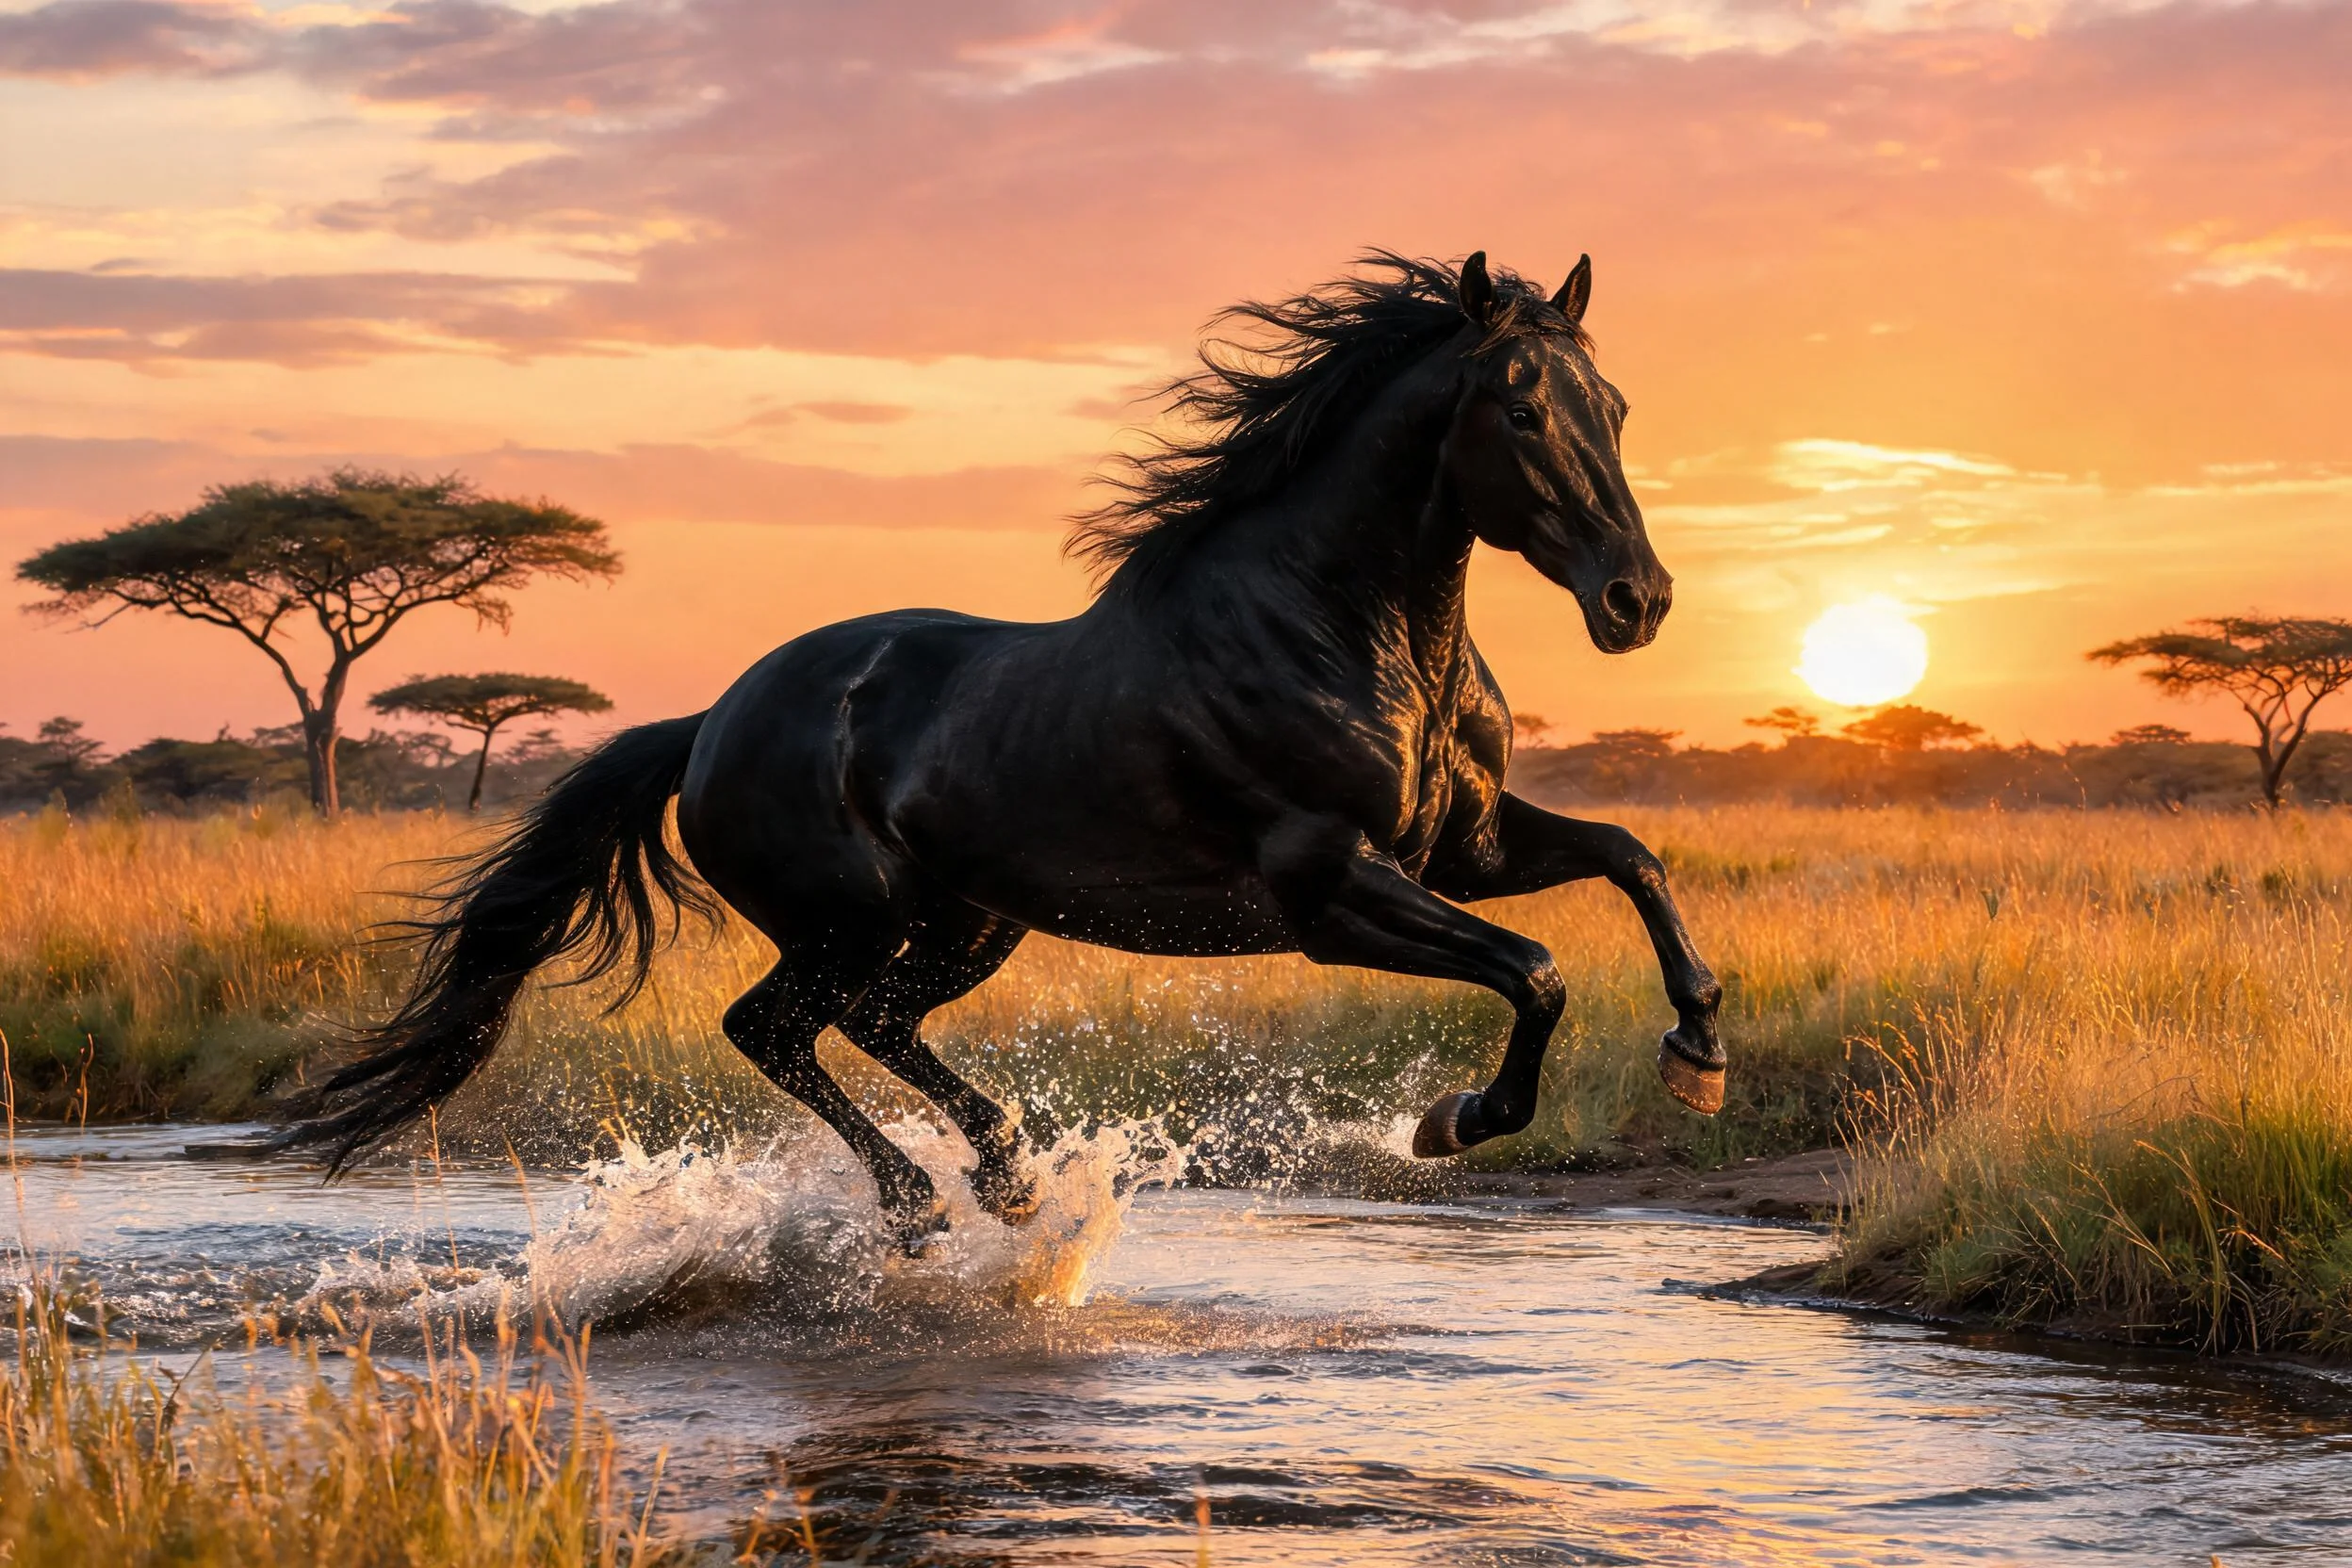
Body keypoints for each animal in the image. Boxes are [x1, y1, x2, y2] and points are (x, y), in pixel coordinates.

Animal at [279, 250, 1727, 1249]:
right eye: (1521, 410)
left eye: (1618, 405)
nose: (1637, 601)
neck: (1347, 630)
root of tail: (708, 726)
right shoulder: (1330, 888)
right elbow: (1535, 970)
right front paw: (1456, 1120)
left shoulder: (1463, 848)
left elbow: (1630, 857)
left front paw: (1699, 1052)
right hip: (846, 921)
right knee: (778, 1026)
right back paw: (924, 1202)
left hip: (973, 920)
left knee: (869, 1022)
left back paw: (1007, 1174)